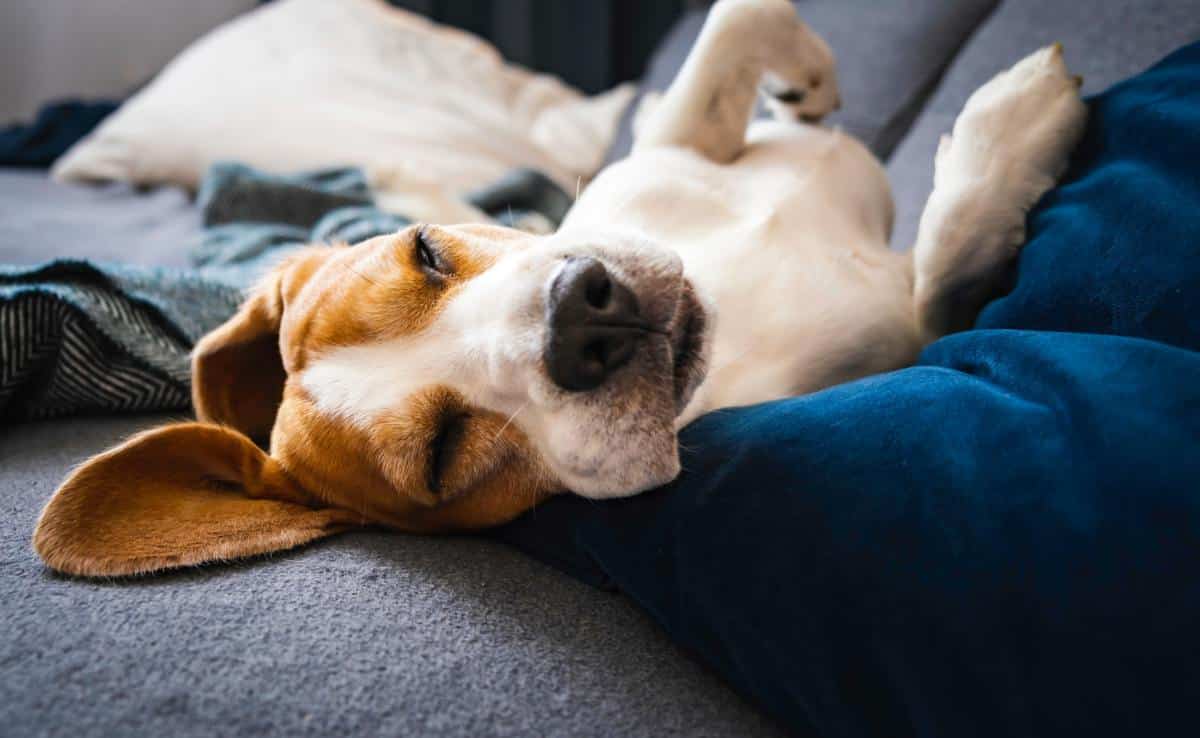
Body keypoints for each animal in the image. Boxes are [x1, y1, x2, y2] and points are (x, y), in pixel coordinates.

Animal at [35, 0, 1089, 578]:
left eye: (427, 253)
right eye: (443, 459)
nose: (584, 316)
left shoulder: (674, 145)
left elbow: (732, 25)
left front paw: (807, 84)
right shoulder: (921, 329)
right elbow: (949, 260)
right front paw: (1014, 127)